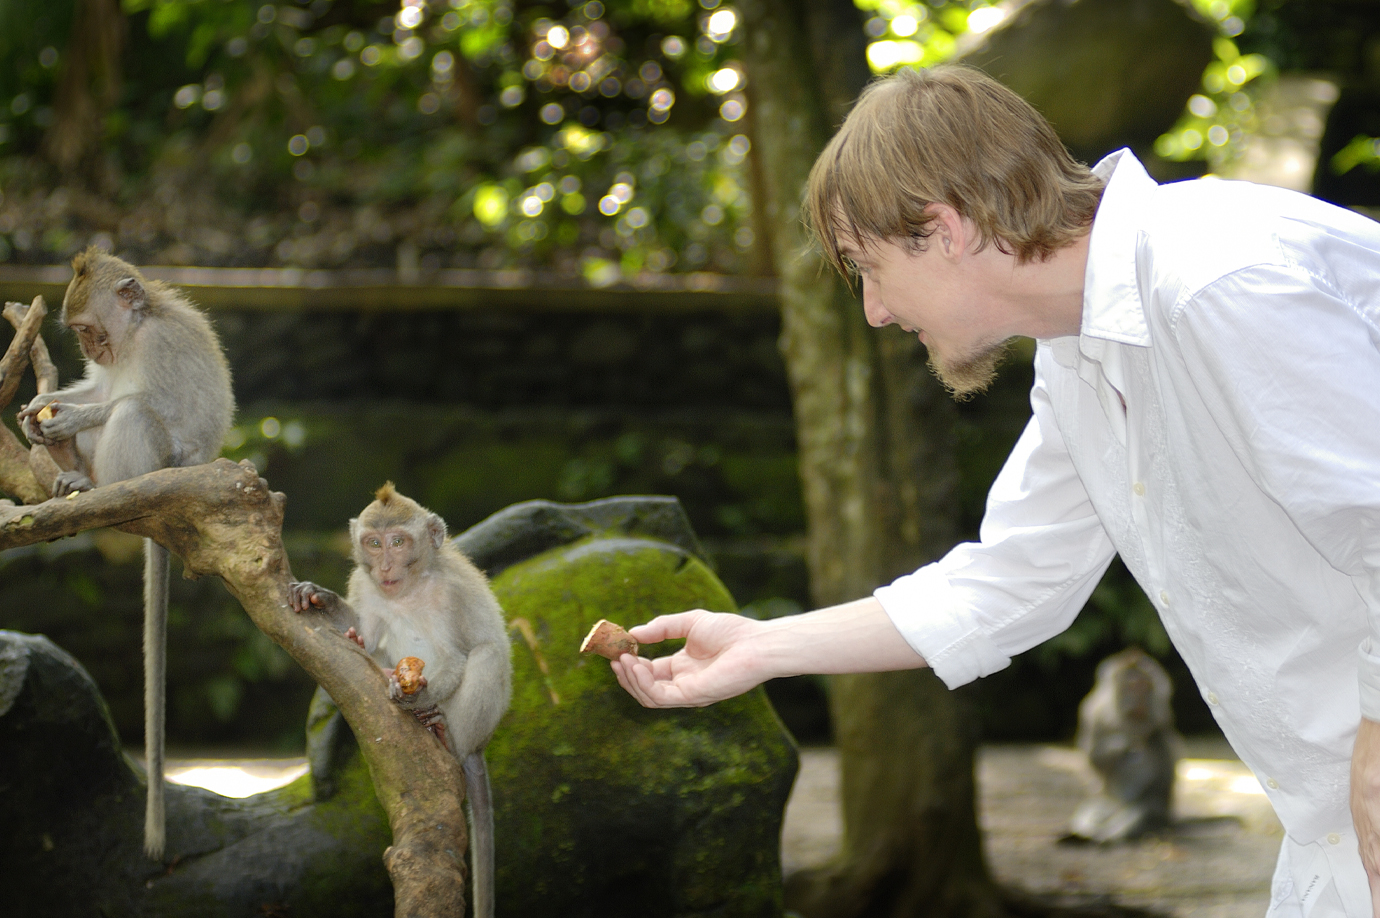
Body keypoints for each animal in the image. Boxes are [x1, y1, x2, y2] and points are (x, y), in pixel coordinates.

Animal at [16, 247, 235, 859]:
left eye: (89, 329)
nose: (92, 349)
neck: (135, 333)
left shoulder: (160, 347)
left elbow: (148, 403)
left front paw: (70, 417)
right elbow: (96, 389)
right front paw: (44, 403)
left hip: (163, 469)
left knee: (135, 413)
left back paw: (98, 487)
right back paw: (72, 471)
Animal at [287, 484, 512, 918]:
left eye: (398, 541)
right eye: (374, 543)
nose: (386, 565)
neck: (410, 589)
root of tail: (479, 747)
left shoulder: (450, 593)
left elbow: (456, 658)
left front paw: (414, 695)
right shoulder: (365, 584)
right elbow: (367, 633)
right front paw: (322, 599)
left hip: (473, 723)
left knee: (486, 655)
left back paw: (445, 737)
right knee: (374, 649)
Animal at [1066, 646, 1182, 843]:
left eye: (1146, 685)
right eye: (1133, 685)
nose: (1142, 699)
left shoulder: (1162, 714)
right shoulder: (1094, 712)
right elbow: (1093, 756)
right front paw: (1125, 743)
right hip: (1110, 802)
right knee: (1093, 811)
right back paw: (1086, 831)